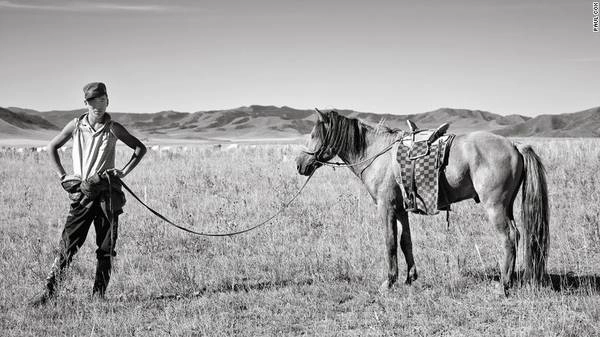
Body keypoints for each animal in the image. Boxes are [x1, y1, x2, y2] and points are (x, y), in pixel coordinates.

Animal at [296, 109, 548, 292]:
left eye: (313, 135)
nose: (300, 165)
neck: (377, 155)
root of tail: (514, 145)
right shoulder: (401, 209)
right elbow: (405, 242)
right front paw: (410, 278)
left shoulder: (386, 208)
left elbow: (390, 242)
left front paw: (389, 281)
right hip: (507, 206)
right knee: (516, 235)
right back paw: (510, 280)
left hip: (495, 207)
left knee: (509, 237)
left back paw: (504, 285)